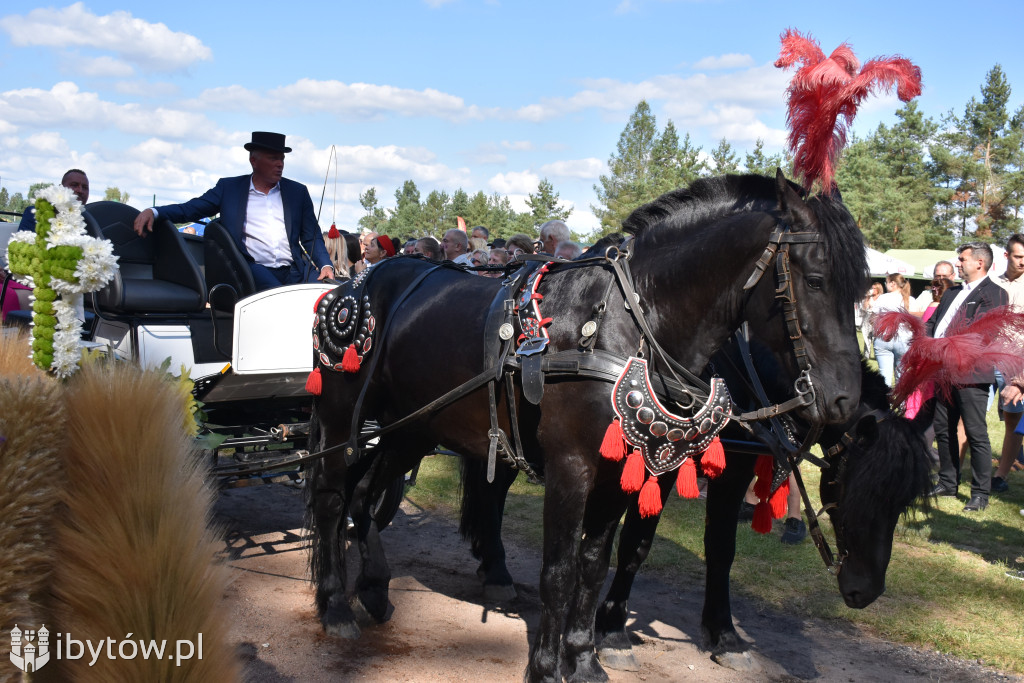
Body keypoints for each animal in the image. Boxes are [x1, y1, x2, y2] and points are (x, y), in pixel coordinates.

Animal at [303, 172, 864, 683]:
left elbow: (594, 566)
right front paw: (547, 667)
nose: (845, 400)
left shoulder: (618, 474)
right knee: (331, 497)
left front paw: (585, 658)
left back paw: (374, 588)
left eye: (858, 290)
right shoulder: (570, 467)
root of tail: (356, 284)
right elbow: (559, 569)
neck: (627, 325)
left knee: (366, 497)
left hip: (411, 428)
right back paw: (335, 605)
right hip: (343, 418)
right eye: (816, 280)